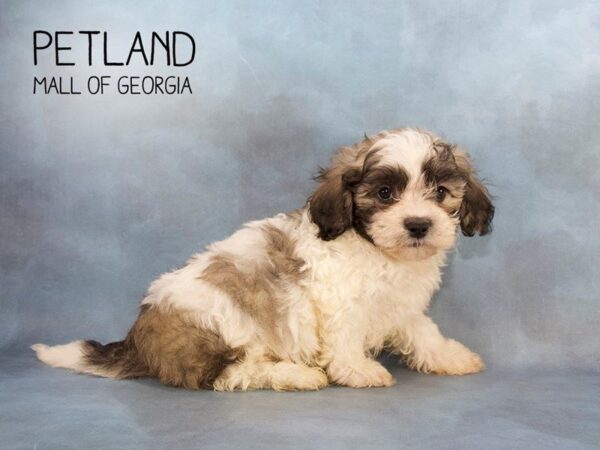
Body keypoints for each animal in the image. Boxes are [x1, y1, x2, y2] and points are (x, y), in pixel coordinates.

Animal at [30, 126, 494, 390]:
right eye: (384, 193)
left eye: (441, 193)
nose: (418, 225)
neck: (376, 249)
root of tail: (139, 340)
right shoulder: (341, 303)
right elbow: (344, 338)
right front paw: (357, 371)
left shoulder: (400, 305)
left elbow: (422, 332)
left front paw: (450, 357)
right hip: (223, 325)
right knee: (229, 375)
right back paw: (296, 376)